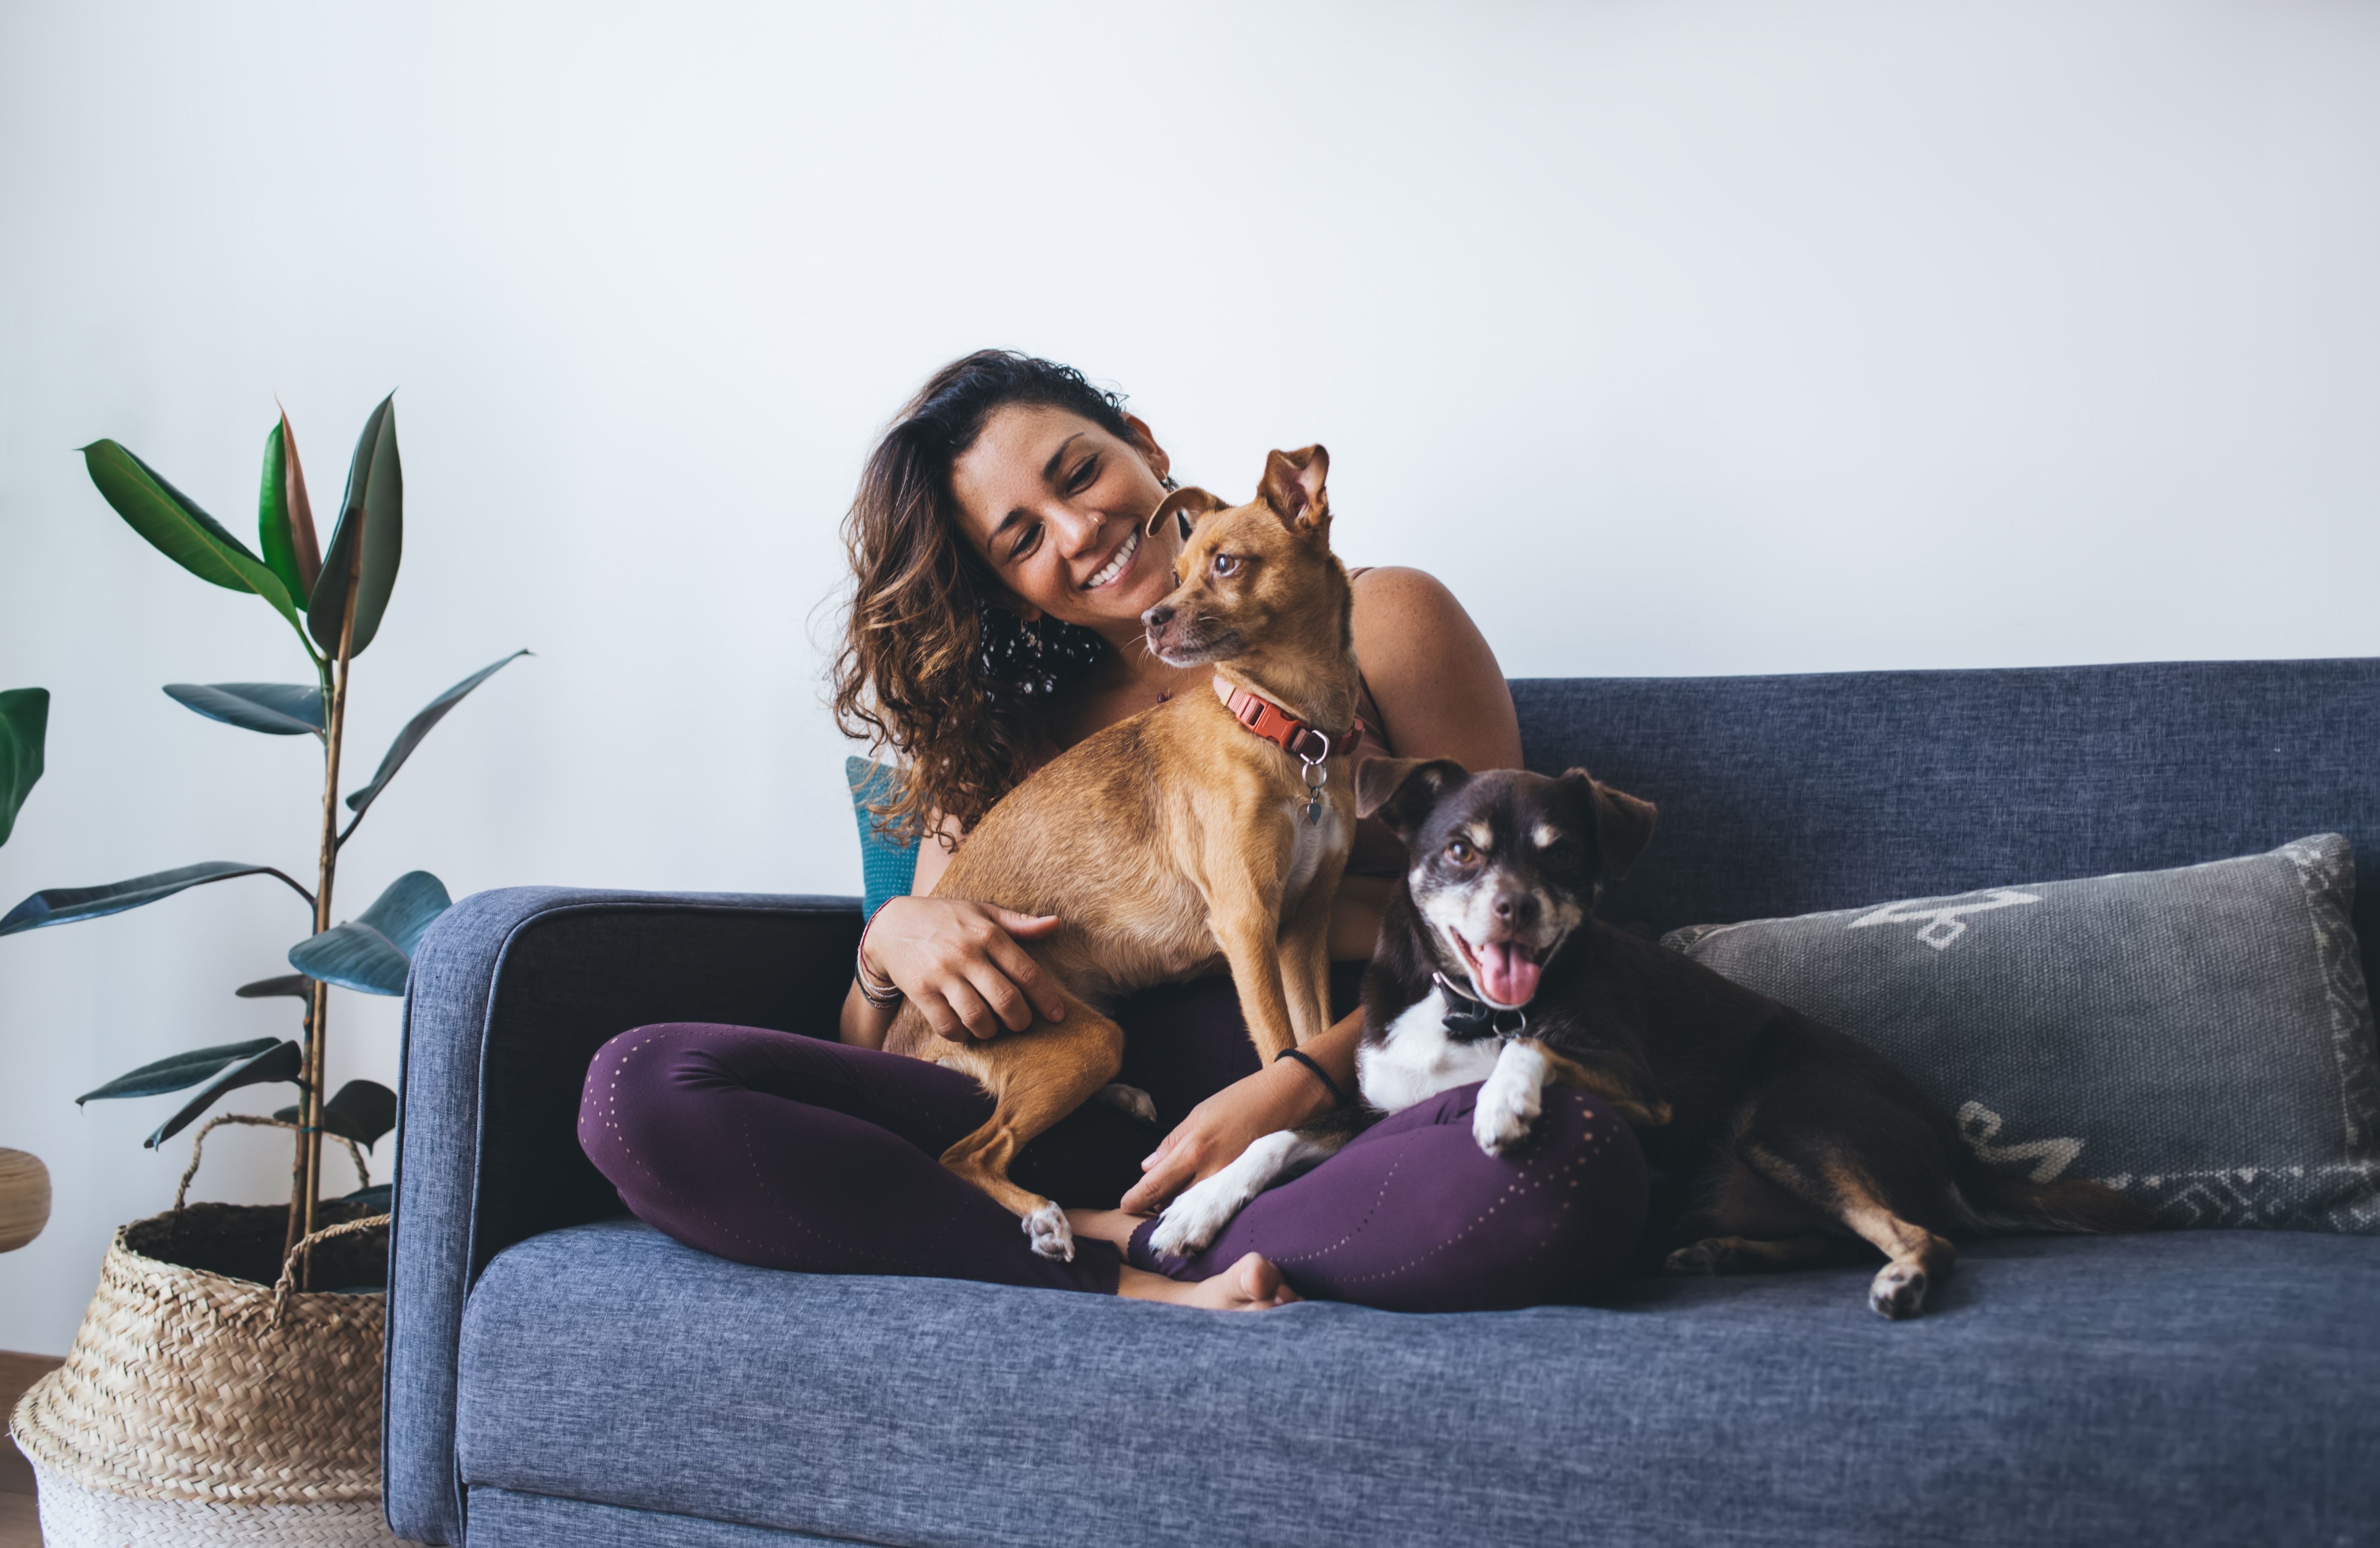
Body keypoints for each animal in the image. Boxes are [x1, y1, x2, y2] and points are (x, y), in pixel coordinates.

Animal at [885, 443, 1361, 1257]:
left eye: (1226, 564)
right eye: (1178, 572)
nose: (1150, 617)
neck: (1285, 727)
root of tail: (905, 1036)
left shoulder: (1302, 928)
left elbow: (1312, 1040)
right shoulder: (1248, 924)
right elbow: (1276, 1052)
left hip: (1087, 1030)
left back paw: (1125, 1099)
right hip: (1078, 1040)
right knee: (966, 1151)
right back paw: (1044, 1216)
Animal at [1147, 753, 2142, 1305]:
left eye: (1561, 856)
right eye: (1460, 850)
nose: (1513, 907)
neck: (1470, 1007)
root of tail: (1951, 1142)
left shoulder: (1641, 1087)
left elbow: (1537, 1042)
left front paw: (1500, 1103)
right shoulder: (1375, 1110)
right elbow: (1275, 1136)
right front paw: (1194, 1207)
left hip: (1787, 1115)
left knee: (1919, 1231)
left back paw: (1901, 1279)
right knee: (1837, 1230)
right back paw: (1721, 1250)